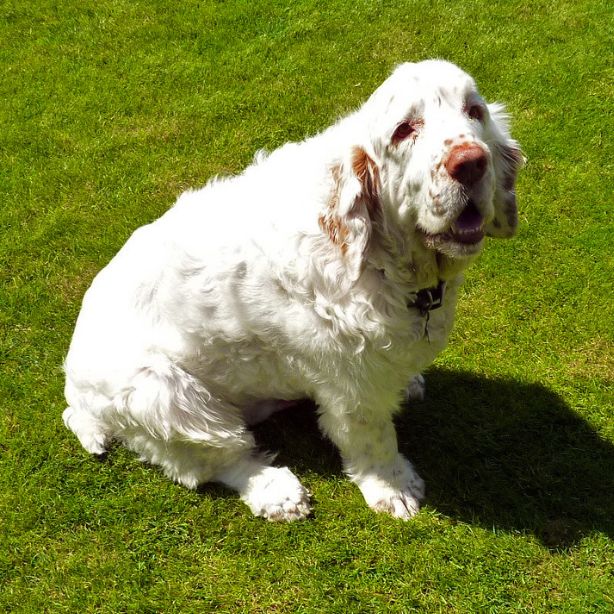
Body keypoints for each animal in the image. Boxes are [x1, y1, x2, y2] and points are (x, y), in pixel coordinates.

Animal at [63, 60, 524, 524]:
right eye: (403, 130)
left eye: (474, 111)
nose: (471, 163)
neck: (376, 255)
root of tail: (74, 392)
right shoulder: (351, 387)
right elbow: (373, 439)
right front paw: (394, 488)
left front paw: (408, 382)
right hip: (166, 398)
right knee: (213, 460)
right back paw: (277, 492)